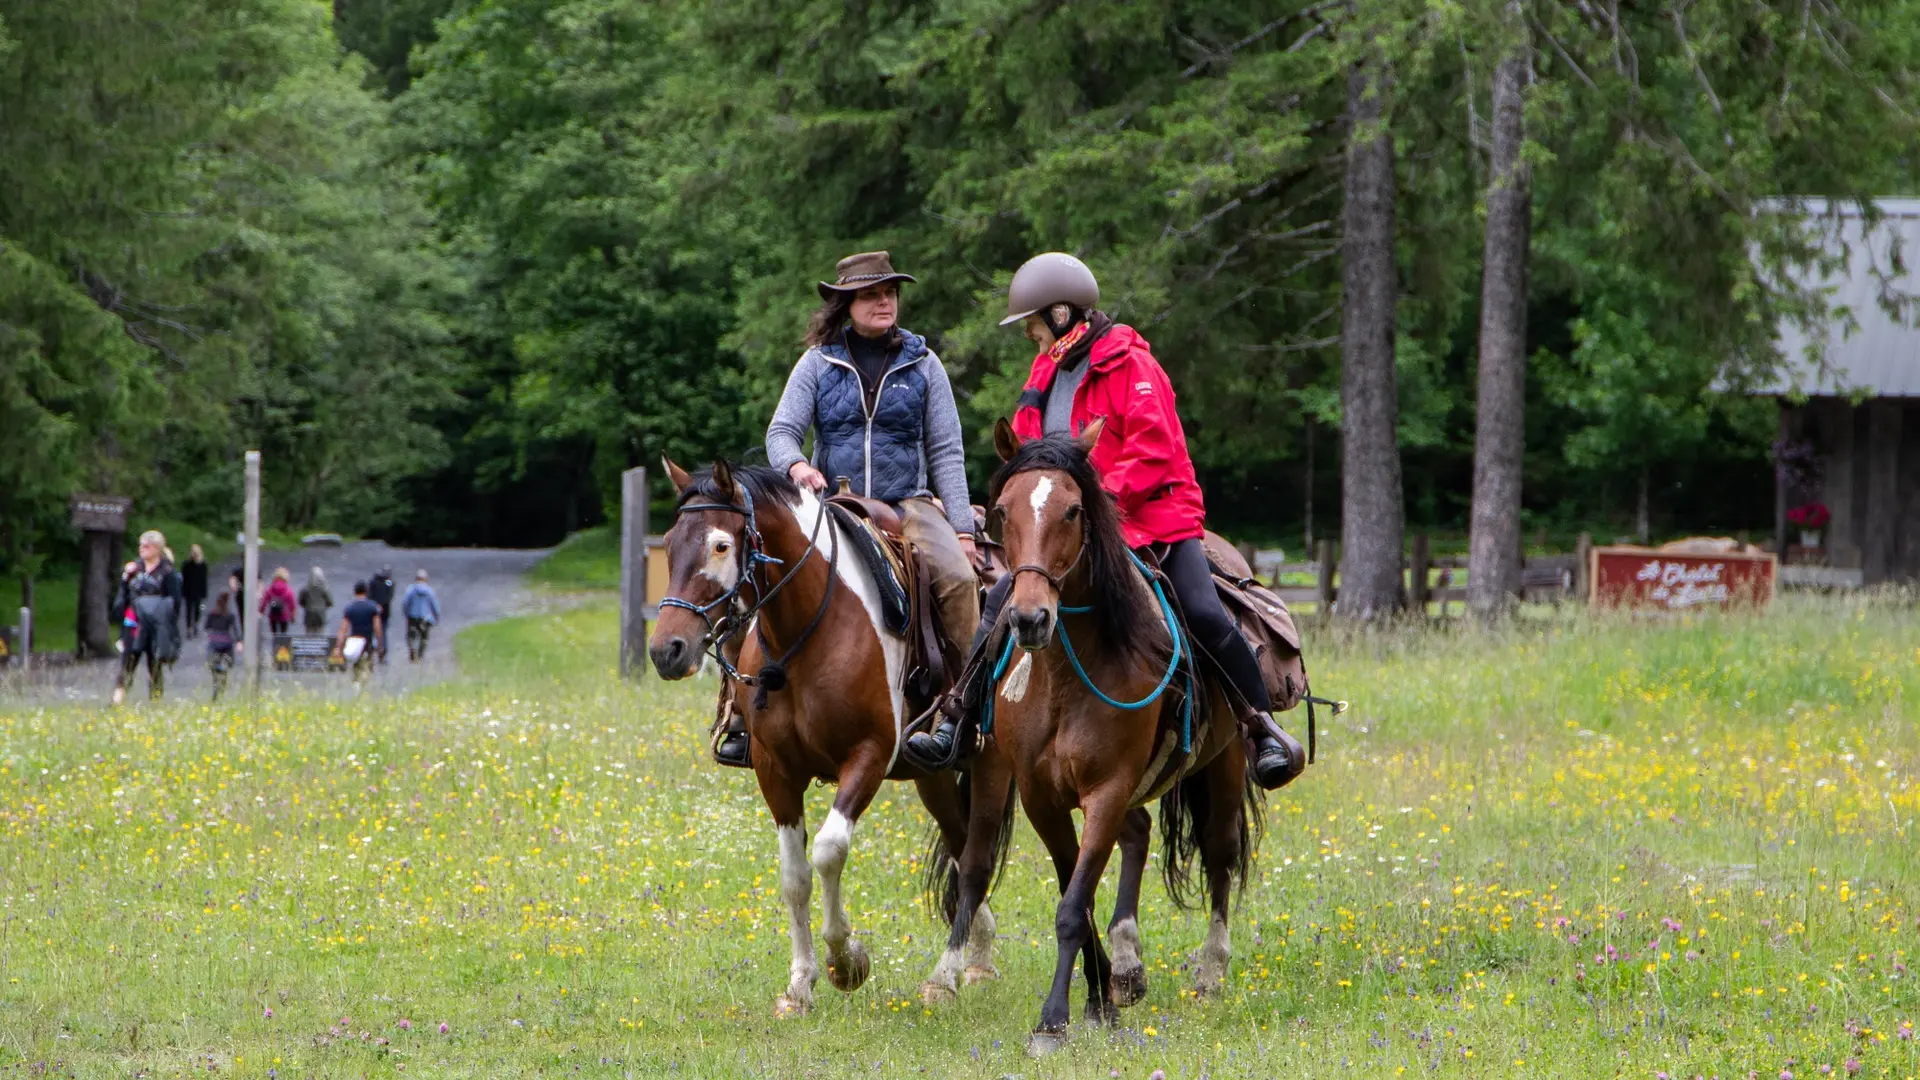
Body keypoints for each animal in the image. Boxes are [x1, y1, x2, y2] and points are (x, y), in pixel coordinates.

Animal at [649, 458, 1016, 1018]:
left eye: (720, 545)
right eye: (669, 542)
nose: (666, 649)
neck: (811, 628)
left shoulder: (868, 757)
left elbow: (827, 851)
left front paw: (847, 962)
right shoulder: (775, 771)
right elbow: (795, 876)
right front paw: (800, 985)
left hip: (991, 765)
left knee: (975, 858)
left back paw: (946, 975)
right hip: (930, 777)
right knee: (958, 845)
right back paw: (978, 956)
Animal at [981, 419, 1261, 1054]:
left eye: (1072, 510)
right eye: (1002, 510)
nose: (1030, 619)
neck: (1066, 678)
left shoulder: (1106, 790)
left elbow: (1072, 905)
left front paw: (1053, 1020)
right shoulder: (1041, 799)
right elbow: (1078, 901)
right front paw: (1101, 996)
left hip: (1225, 765)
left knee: (1220, 855)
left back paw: (1211, 970)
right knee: (1139, 835)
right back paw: (1128, 963)